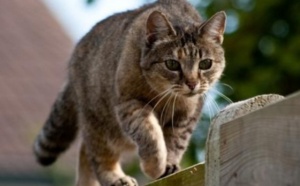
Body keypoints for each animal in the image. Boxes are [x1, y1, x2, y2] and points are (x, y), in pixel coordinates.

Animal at [33, 0, 225, 185]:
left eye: (205, 63)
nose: (192, 83)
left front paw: (168, 164)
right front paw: (154, 166)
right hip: (98, 123)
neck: (164, 96)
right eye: (172, 64)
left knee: (85, 152)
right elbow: (149, 134)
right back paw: (115, 178)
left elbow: (176, 142)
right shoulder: (129, 104)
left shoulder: (186, 115)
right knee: (97, 156)